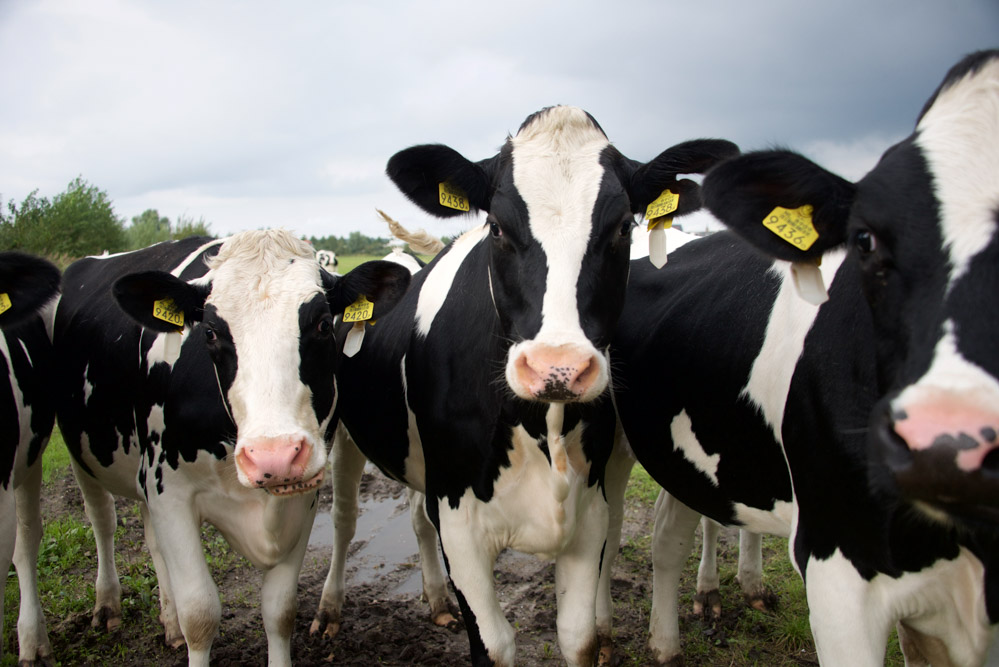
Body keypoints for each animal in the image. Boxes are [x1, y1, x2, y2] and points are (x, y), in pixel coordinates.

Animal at [50, 230, 410, 666]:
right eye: (209, 333)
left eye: (325, 324)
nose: (273, 456)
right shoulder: (171, 492)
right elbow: (200, 614)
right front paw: (189, 627)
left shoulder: (301, 495)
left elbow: (279, 612)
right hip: (80, 450)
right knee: (102, 520)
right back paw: (107, 607)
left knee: (151, 538)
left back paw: (168, 624)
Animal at [309, 106, 738, 666]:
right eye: (496, 226)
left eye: (624, 226)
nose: (558, 368)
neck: (542, 429)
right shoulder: (460, 524)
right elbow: (494, 645)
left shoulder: (588, 514)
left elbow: (578, 638)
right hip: (341, 434)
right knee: (344, 519)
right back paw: (328, 611)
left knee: (417, 518)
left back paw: (436, 602)